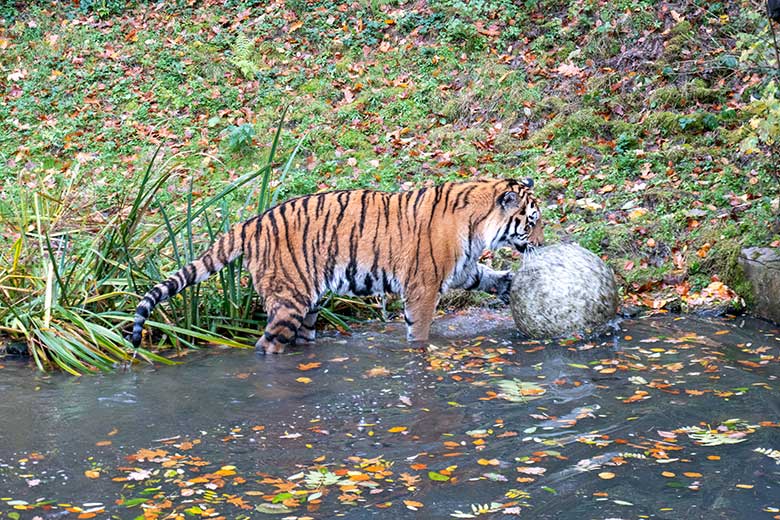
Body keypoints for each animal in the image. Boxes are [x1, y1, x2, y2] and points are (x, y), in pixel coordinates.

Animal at [131, 179, 544, 354]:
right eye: (532, 221)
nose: (542, 243)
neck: (477, 227)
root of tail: (251, 223)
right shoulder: (423, 289)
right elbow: (420, 334)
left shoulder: (461, 268)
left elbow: (484, 276)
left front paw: (508, 284)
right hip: (288, 301)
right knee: (266, 344)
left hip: (308, 306)